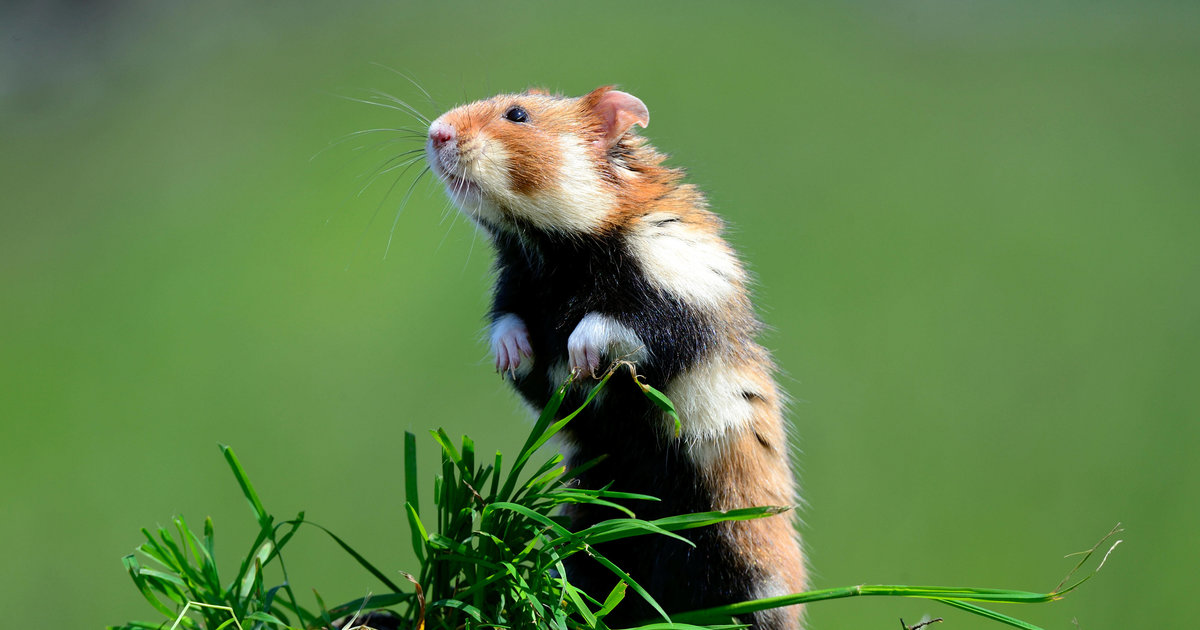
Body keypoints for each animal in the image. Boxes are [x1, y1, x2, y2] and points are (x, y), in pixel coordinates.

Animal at [425, 85, 806, 630]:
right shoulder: (516, 283)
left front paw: (581, 354)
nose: (435, 132)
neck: (553, 252)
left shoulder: (683, 289)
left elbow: (621, 321)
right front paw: (511, 354)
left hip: (735, 551)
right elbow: (510, 323)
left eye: (517, 115)